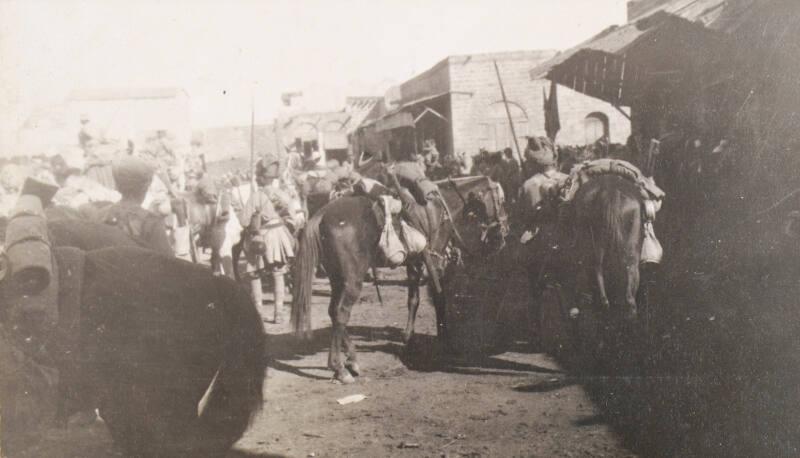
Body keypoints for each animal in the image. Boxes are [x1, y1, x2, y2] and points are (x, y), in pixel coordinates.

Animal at [292, 175, 506, 382]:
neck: (440, 209)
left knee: (333, 312)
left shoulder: (415, 263)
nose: (504, 232)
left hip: (338, 279)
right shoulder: (435, 264)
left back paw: (352, 361)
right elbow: (439, 298)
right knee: (340, 313)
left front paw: (408, 337)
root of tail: (320, 216)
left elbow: (413, 300)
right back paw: (339, 368)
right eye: (501, 201)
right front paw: (442, 338)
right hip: (352, 280)